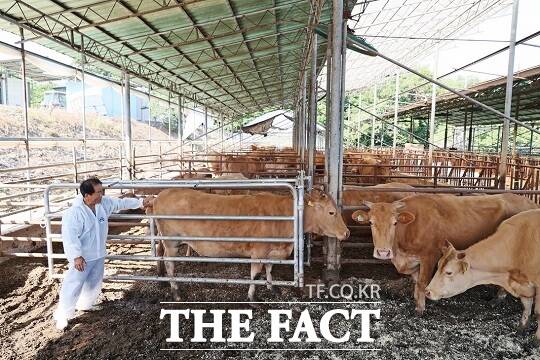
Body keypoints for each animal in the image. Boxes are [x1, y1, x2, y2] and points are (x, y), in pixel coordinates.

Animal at [151, 188, 350, 300]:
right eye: (332, 212)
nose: (346, 232)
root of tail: (161, 195)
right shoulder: (259, 251)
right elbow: (255, 274)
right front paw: (252, 297)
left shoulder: (272, 251)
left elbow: (269, 269)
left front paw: (273, 288)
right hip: (171, 242)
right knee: (169, 263)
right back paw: (176, 292)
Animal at [352, 193, 536, 314]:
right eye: (371, 222)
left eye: (395, 222)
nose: (383, 252)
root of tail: (528, 201)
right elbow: (416, 281)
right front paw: (416, 299)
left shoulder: (429, 257)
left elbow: (422, 282)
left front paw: (420, 309)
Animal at [426, 210, 540, 338]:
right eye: (438, 265)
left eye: (449, 272)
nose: (427, 291)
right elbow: (526, 306)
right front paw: (522, 328)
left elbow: (537, 312)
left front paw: (536, 338)